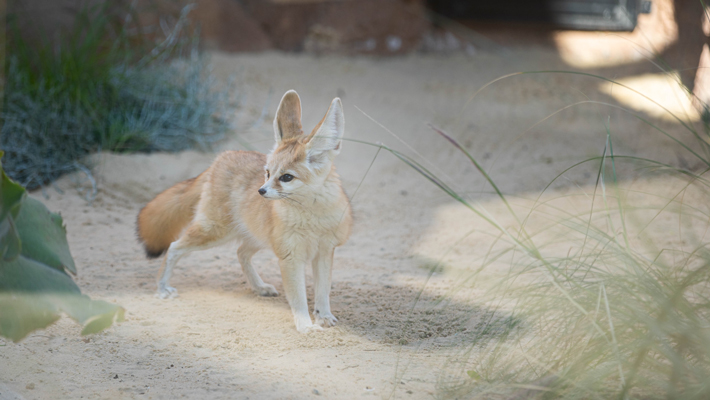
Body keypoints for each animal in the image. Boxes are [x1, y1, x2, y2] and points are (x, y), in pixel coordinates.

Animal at [137, 91, 354, 334]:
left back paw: (259, 287)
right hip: (214, 233)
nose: (261, 191)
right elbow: (298, 298)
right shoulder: (291, 257)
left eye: (286, 177)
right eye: (267, 173)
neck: (313, 219)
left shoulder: (324, 253)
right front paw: (305, 325)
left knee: (240, 253)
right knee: (175, 247)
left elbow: (323, 291)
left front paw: (323, 316)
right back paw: (162, 287)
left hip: (256, 237)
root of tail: (222, 157)